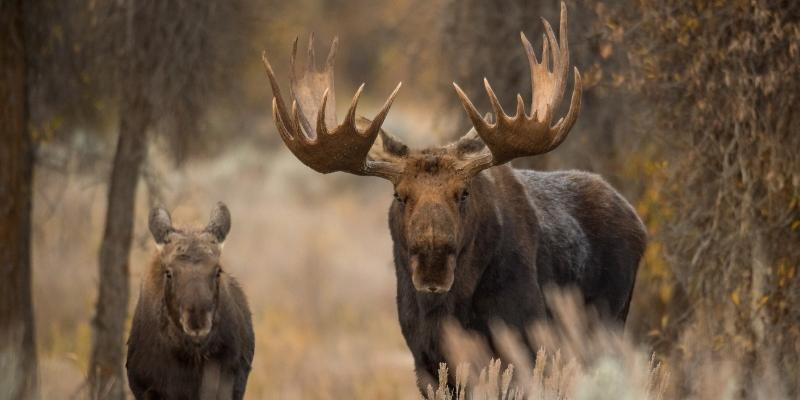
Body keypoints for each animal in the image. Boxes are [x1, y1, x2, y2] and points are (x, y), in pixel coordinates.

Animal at [261, 2, 645, 391]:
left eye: (463, 193)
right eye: (400, 195)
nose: (433, 259)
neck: (447, 312)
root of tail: (637, 222)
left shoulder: (523, 341)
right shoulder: (425, 361)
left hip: (608, 324)